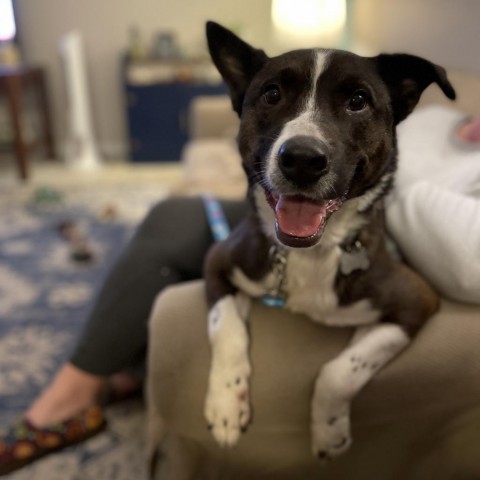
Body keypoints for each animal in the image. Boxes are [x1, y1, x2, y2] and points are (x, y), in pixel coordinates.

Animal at [202, 20, 454, 460]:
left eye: (358, 100)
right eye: (272, 94)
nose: (302, 159)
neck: (312, 251)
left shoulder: (416, 301)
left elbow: (339, 370)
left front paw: (328, 431)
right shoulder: (218, 260)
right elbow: (225, 324)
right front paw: (227, 402)